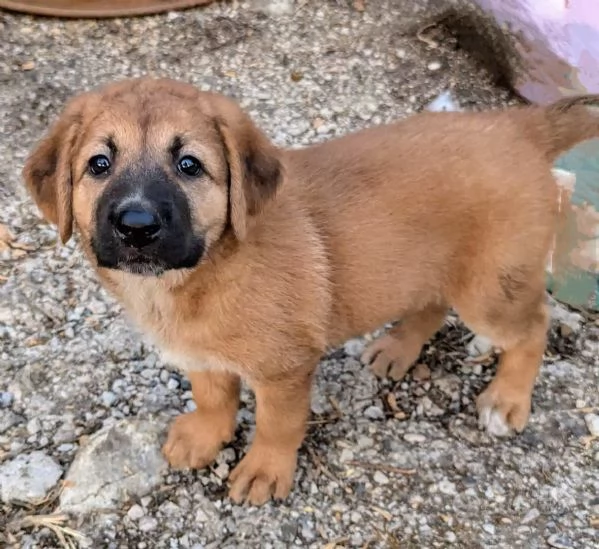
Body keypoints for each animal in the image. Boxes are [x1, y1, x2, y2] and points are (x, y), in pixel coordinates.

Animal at [22, 78, 599, 506]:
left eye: (189, 165)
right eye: (99, 164)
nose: (136, 226)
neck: (203, 272)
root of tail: (517, 124)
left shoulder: (284, 368)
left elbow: (277, 424)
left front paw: (264, 470)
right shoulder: (201, 355)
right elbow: (212, 397)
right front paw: (206, 436)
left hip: (490, 289)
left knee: (534, 327)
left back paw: (507, 400)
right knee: (432, 303)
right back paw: (398, 348)